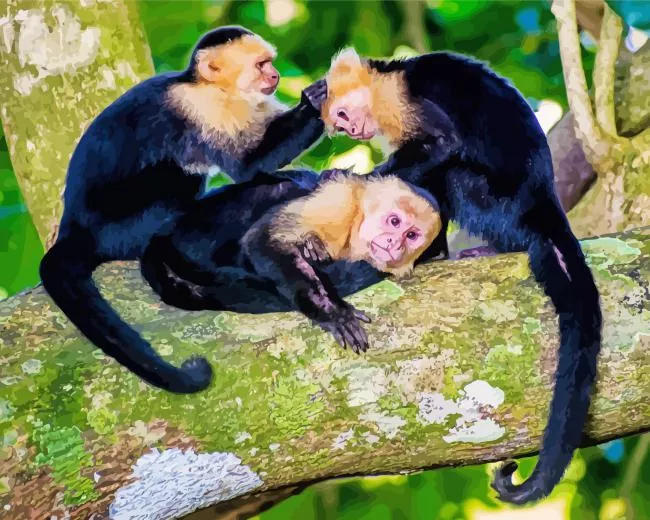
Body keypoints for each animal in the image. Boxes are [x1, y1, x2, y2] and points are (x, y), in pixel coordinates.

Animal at [38, 26, 328, 395]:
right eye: (261, 65)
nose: (275, 76)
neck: (209, 87)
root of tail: (72, 229)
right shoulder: (202, 109)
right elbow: (249, 164)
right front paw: (316, 100)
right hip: (121, 227)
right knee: (173, 180)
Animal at [139, 169, 444, 354]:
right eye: (394, 222)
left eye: (411, 235)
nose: (395, 243)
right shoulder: (339, 202)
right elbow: (263, 241)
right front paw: (332, 312)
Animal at [317, 47, 602, 505]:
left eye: (343, 114)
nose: (353, 131)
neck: (385, 82)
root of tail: (544, 201)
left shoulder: (401, 98)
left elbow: (441, 144)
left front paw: (356, 179)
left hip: (497, 204)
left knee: (450, 174)